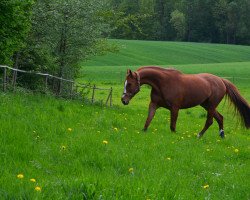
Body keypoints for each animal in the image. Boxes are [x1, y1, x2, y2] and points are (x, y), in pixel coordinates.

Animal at [121, 66, 250, 138]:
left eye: (130, 84)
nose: (123, 100)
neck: (163, 83)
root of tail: (221, 80)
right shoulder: (154, 104)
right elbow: (148, 120)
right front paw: (143, 132)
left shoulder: (175, 108)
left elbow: (172, 126)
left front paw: (174, 135)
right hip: (206, 105)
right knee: (220, 118)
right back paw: (222, 135)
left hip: (211, 105)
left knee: (210, 121)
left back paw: (199, 135)